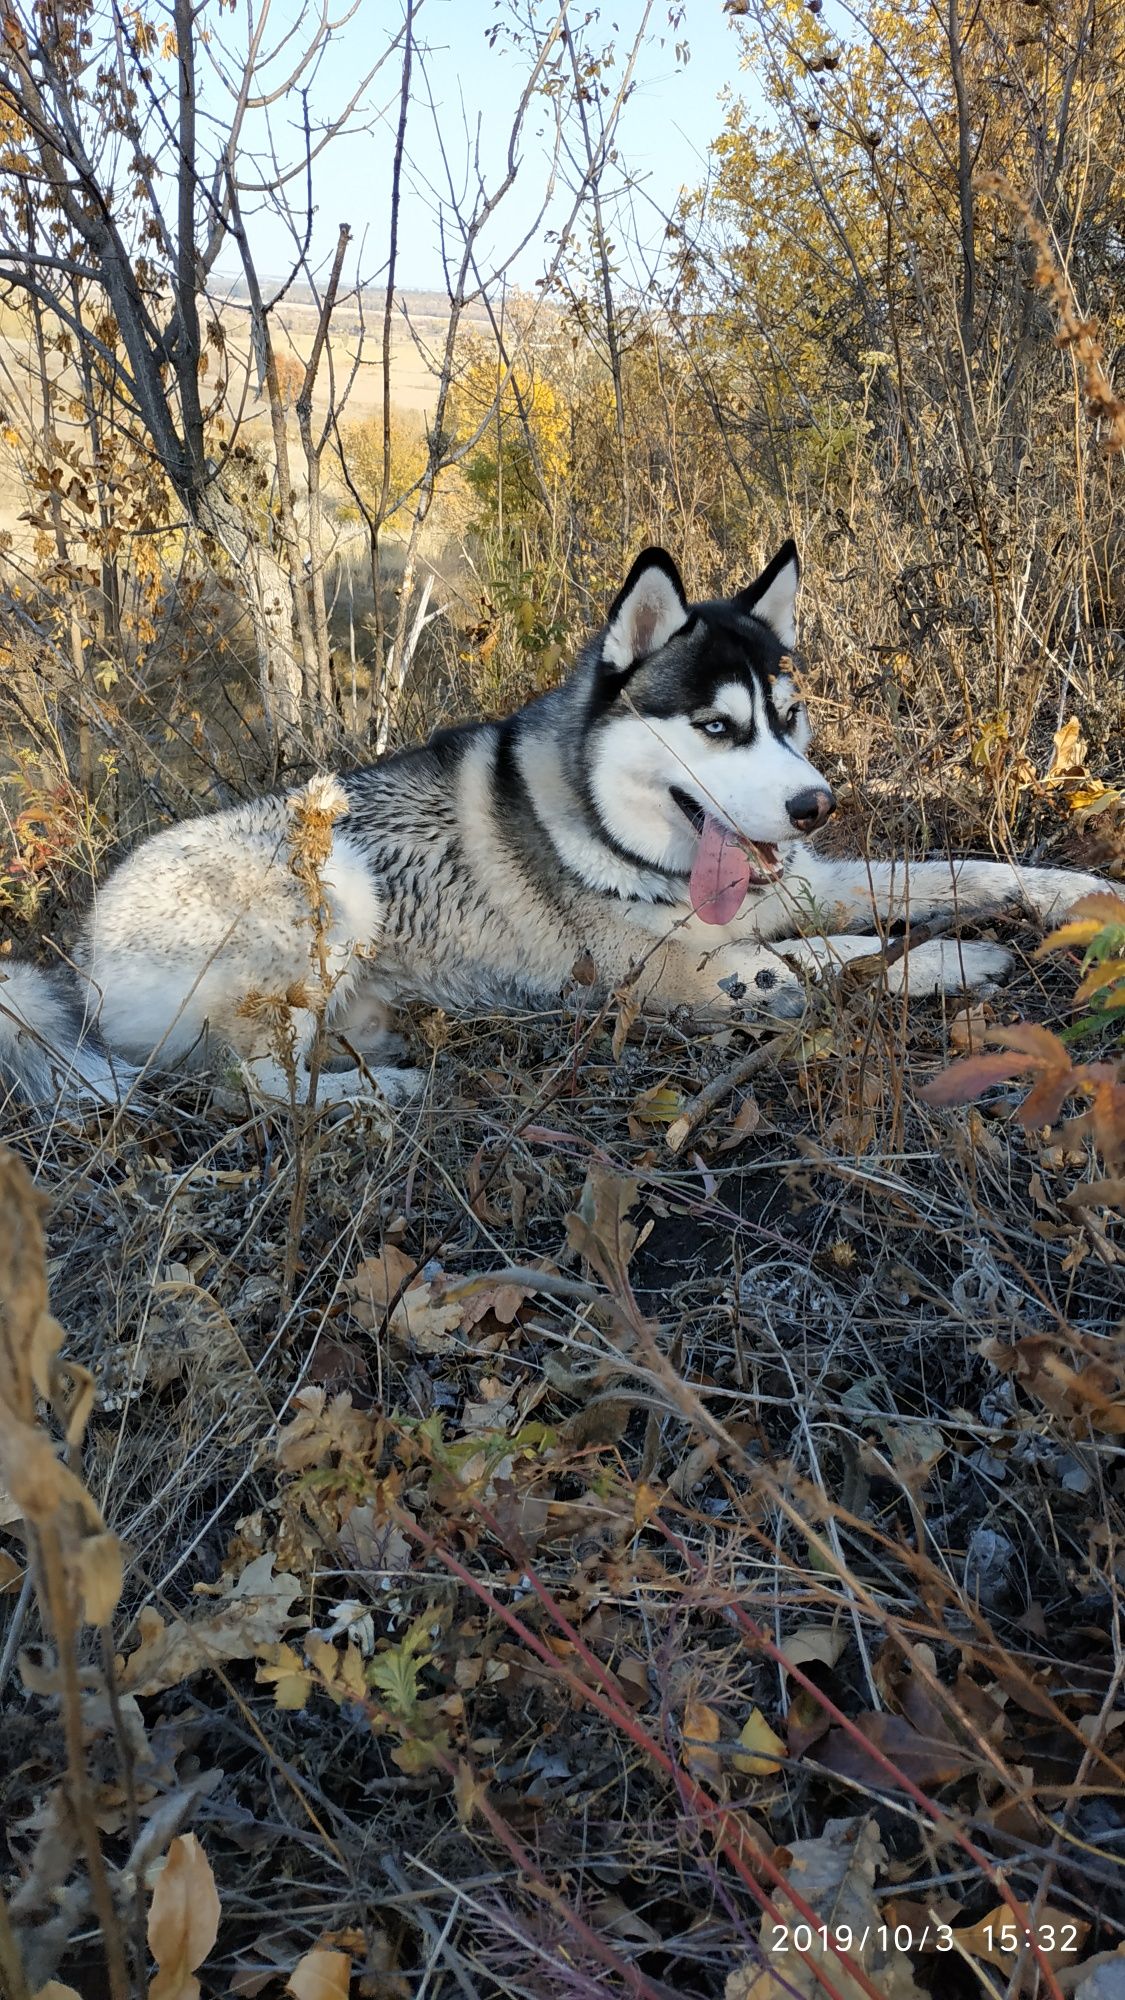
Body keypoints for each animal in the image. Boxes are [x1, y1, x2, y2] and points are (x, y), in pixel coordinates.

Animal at [0, 544, 1104, 1112]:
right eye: (716, 727)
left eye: (787, 716)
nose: (811, 807)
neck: (624, 837)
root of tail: (78, 952)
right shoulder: (672, 975)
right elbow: (839, 959)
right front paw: (959, 961)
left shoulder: (805, 881)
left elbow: (953, 868)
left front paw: (1077, 897)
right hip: (333, 883)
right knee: (252, 1080)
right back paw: (377, 1093)